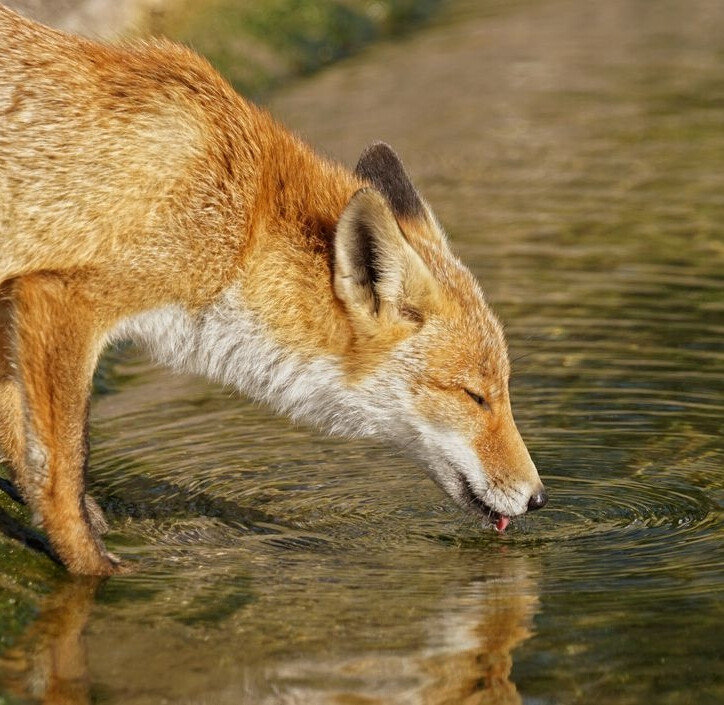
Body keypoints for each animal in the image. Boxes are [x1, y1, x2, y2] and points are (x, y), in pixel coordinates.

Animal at [0, 5, 544, 576]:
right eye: (475, 397)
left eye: (500, 391)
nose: (539, 498)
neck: (240, 226)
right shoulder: (63, 297)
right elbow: (60, 462)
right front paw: (89, 564)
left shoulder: (14, 302)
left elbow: (19, 432)